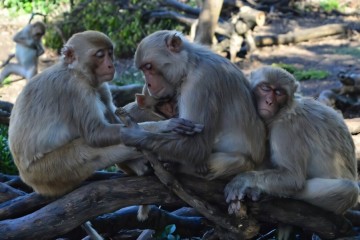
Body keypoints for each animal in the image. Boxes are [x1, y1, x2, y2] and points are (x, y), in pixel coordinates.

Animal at [119, 29, 266, 180]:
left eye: (148, 67)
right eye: (143, 69)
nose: (148, 84)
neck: (190, 65)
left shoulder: (199, 84)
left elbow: (196, 146)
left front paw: (134, 135)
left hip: (245, 165)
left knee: (235, 162)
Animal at [224, 66, 358, 219]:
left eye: (279, 93)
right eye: (265, 88)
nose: (269, 102)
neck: (282, 111)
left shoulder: (286, 130)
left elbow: (293, 178)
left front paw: (244, 180)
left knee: (349, 189)